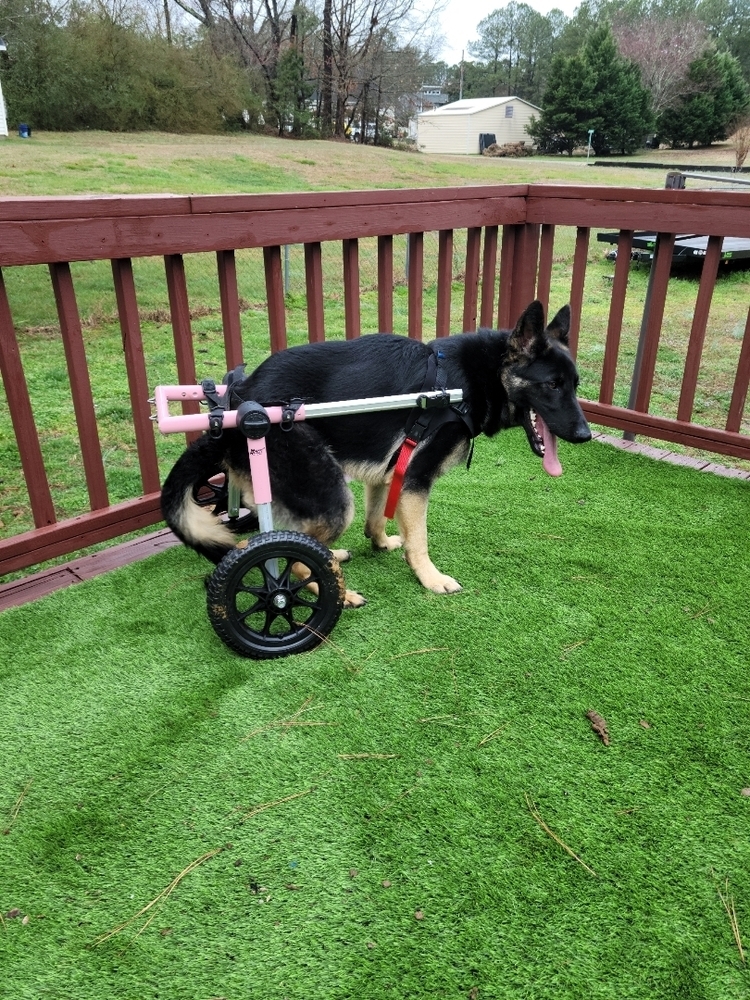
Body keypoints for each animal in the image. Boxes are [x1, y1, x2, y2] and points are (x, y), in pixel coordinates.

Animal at [162, 300, 592, 604]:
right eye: (552, 385)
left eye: (573, 384)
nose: (585, 434)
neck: (475, 378)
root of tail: (236, 403)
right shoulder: (417, 479)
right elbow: (420, 540)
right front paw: (430, 578)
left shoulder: (390, 470)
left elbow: (376, 518)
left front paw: (381, 543)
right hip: (333, 499)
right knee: (288, 555)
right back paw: (334, 593)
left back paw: (332, 557)